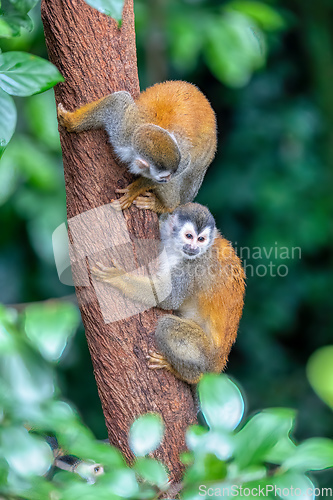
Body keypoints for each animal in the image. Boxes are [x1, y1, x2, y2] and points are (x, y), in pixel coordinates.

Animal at [58, 81, 217, 214]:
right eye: (163, 177)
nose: (166, 180)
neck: (132, 151)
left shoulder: (179, 154)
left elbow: (184, 164)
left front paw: (135, 189)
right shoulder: (122, 130)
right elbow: (118, 101)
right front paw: (71, 121)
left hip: (199, 163)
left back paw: (168, 206)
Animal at [91, 203, 244, 382]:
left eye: (201, 239)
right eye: (189, 236)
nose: (194, 248)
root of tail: (218, 364)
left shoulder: (193, 266)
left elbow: (169, 298)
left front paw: (120, 278)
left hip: (206, 356)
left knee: (167, 326)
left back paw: (188, 375)